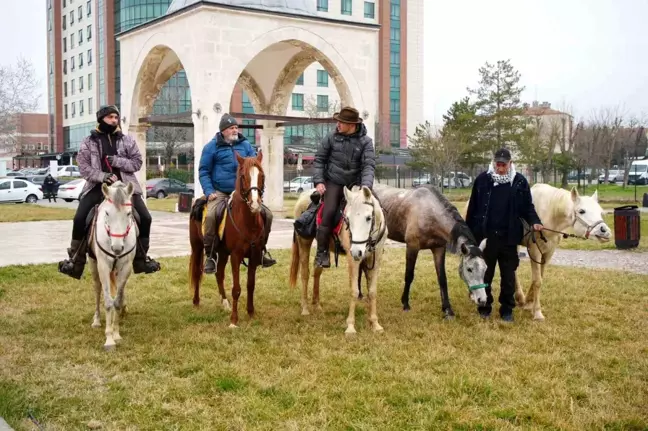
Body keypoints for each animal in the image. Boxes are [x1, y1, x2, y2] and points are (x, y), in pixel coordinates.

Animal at [88, 182, 139, 352]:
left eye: (129, 213)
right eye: (107, 213)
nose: (117, 248)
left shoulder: (126, 267)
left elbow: (116, 301)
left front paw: (116, 334)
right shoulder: (103, 266)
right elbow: (108, 302)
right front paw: (109, 339)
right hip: (94, 265)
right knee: (97, 290)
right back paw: (97, 320)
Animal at [189, 152, 268, 328]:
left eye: (262, 175)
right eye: (243, 176)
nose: (255, 204)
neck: (247, 221)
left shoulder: (254, 256)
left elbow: (250, 285)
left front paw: (251, 313)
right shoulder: (236, 256)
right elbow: (236, 288)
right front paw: (234, 320)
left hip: (223, 252)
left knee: (219, 274)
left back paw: (225, 303)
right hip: (197, 247)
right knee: (198, 272)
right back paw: (196, 301)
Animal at [290, 185, 390, 334]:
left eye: (368, 218)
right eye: (347, 219)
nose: (357, 251)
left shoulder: (376, 258)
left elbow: (372, 292)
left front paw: (375, 324)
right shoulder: (353, 260)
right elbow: (354, 291)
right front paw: (350, 327)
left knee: (317, 271)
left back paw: (317, 305)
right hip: (304, 243)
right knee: (305, 274)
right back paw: (305, 308)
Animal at [516, 184, 612, 322]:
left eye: (600, 211)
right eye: (582, 211)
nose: (605, 231)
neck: (550, 213)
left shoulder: (549, 252)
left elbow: (539, 277)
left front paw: (529, 303)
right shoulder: (534, 251)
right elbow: (537, 281)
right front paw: (537, 312)